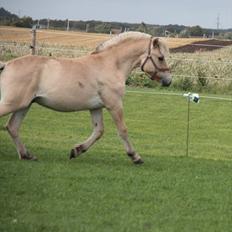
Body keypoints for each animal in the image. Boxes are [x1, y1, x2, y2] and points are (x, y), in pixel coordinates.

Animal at [0, 31, 170, 164]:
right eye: (161, 57)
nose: (168, 81)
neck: (111, 65)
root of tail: (7, 65)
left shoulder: (96, 107)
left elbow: (98, 131)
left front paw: (76, 150)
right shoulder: (114, 104)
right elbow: (122, 130)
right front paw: (135, 157)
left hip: (24, 105)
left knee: (13, 127)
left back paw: (27, 155)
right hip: (13, 104)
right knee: (11, 126)